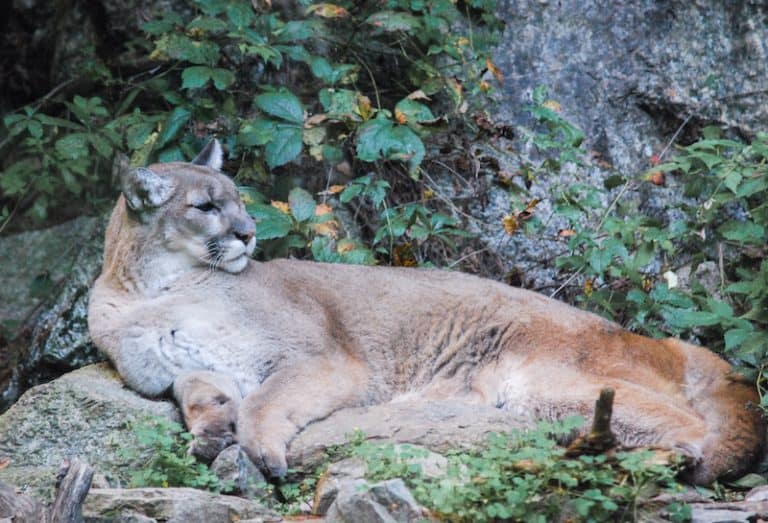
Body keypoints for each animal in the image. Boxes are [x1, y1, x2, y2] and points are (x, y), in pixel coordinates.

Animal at [88, 139, 764, 484]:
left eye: (237, 201)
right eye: (206, 206)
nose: (250, 234)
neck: (150, 290)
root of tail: (665, 342)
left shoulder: (323, 361)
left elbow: (264, 400)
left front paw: (259, 449)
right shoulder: (183, 370)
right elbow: (201, 394)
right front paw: (211, 433)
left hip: (543, 380)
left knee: (693, 429)